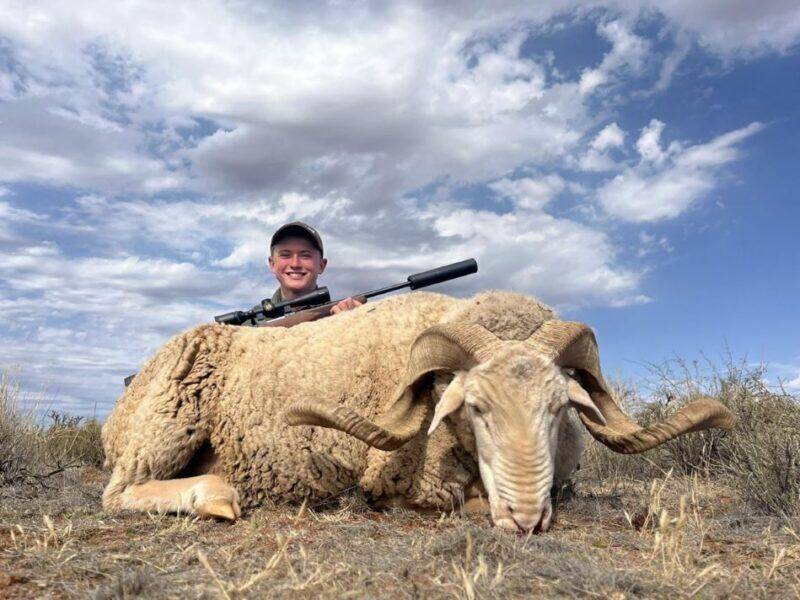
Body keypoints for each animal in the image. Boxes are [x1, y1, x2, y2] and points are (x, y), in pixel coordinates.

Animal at [102, 290, 736, 532]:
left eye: (561, 409)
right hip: (166, 427)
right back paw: (216, 496)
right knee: (120, 493)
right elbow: (457, 500)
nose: (525, 519)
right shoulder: (405, 485)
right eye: (474, 407)